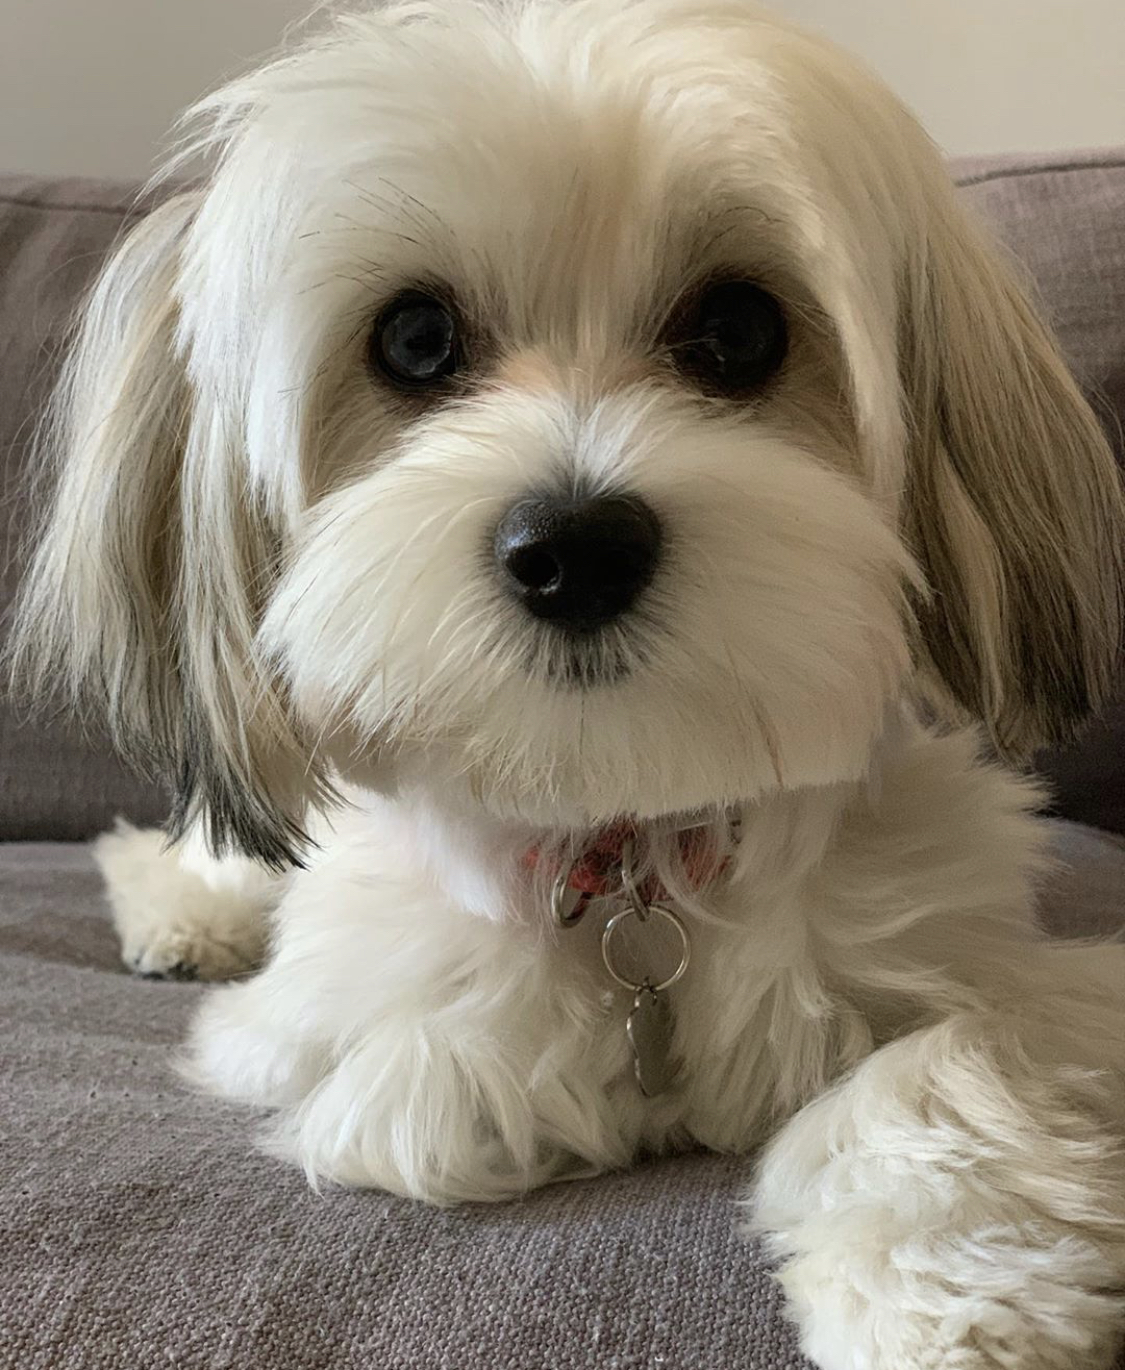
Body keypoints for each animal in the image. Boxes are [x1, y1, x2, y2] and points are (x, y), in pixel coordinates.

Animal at [8, 0, 1123, 1364]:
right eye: (415, 339)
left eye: (740, 330)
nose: (576, 546)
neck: (629, 837)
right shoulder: (323, 1028)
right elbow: (432, 1075)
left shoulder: (1005, 954)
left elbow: (951, 1057)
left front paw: (947, 1296)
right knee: (207, 847)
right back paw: (181, 915)